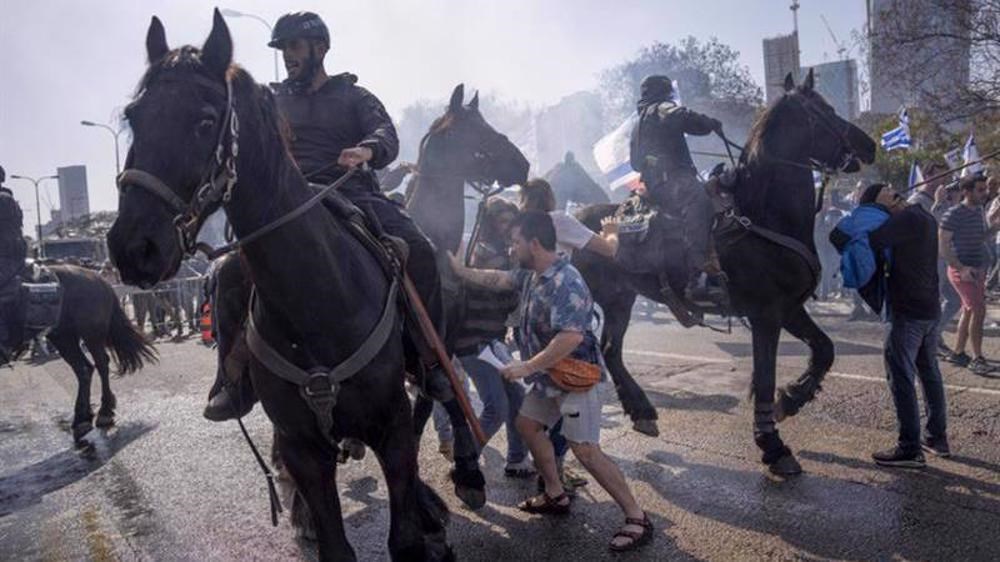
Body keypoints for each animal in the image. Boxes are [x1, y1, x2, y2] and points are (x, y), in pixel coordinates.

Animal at [4, 264, 156, 442]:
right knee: (84, 368)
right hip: (63, 337)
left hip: (89, 333)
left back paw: (103, 412)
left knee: (100, 364)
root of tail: (99, 278)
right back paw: (82, 419)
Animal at [109, 10, 450, 556]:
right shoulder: (301, 445)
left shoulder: (392, 426)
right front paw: (309, 516)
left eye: (205, 120)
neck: (317, 297)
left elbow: (405, 532)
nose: (133, 247)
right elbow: (334, 543)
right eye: (135, 116)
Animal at [572, 70, 876, 472]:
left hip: (620, 299)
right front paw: (772, 444)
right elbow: (764, 377)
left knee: (611, 350)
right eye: (824, 110)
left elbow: (824, 350)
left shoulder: (790, 308)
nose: (869, 145)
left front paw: (792, 398)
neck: (763, 214)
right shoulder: (766, 314)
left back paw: (641, 412)